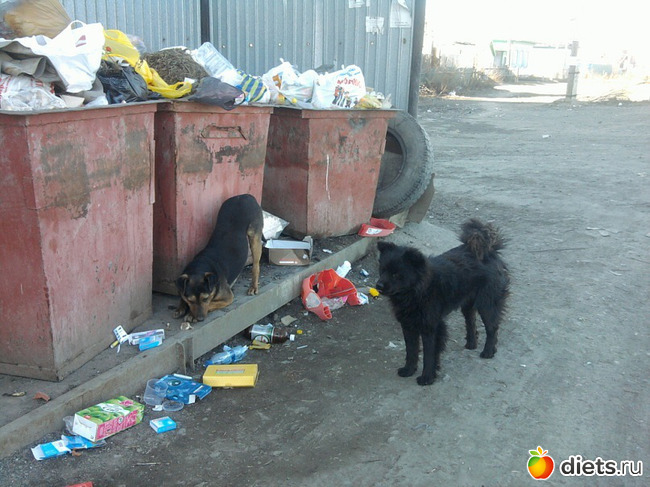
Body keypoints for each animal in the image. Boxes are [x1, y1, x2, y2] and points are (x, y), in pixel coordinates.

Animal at [173, 194, 263, 322]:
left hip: (254, 236)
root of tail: (245, 195)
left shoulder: (227, 298)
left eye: (205, 299)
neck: (198, 267)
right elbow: (182, 296)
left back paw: (253, 286)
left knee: (256, 265)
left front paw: (190, 314)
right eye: (190, 300)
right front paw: (181, 307)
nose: (200, 318)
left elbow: (211, 304)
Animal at [376, 219, 510, 386]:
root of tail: (490, 253)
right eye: (382, 270)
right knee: (471, 322)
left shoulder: (431, 327)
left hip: (487, 304)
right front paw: (409, 370)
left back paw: (488, 351)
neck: (417, 291)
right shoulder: (408, 325)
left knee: (492, 328)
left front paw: (427, 377)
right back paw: (471, 344)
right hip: (468, 304)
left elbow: (429, 354)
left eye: (396, 274)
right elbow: (411, 350)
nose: (378, 285)